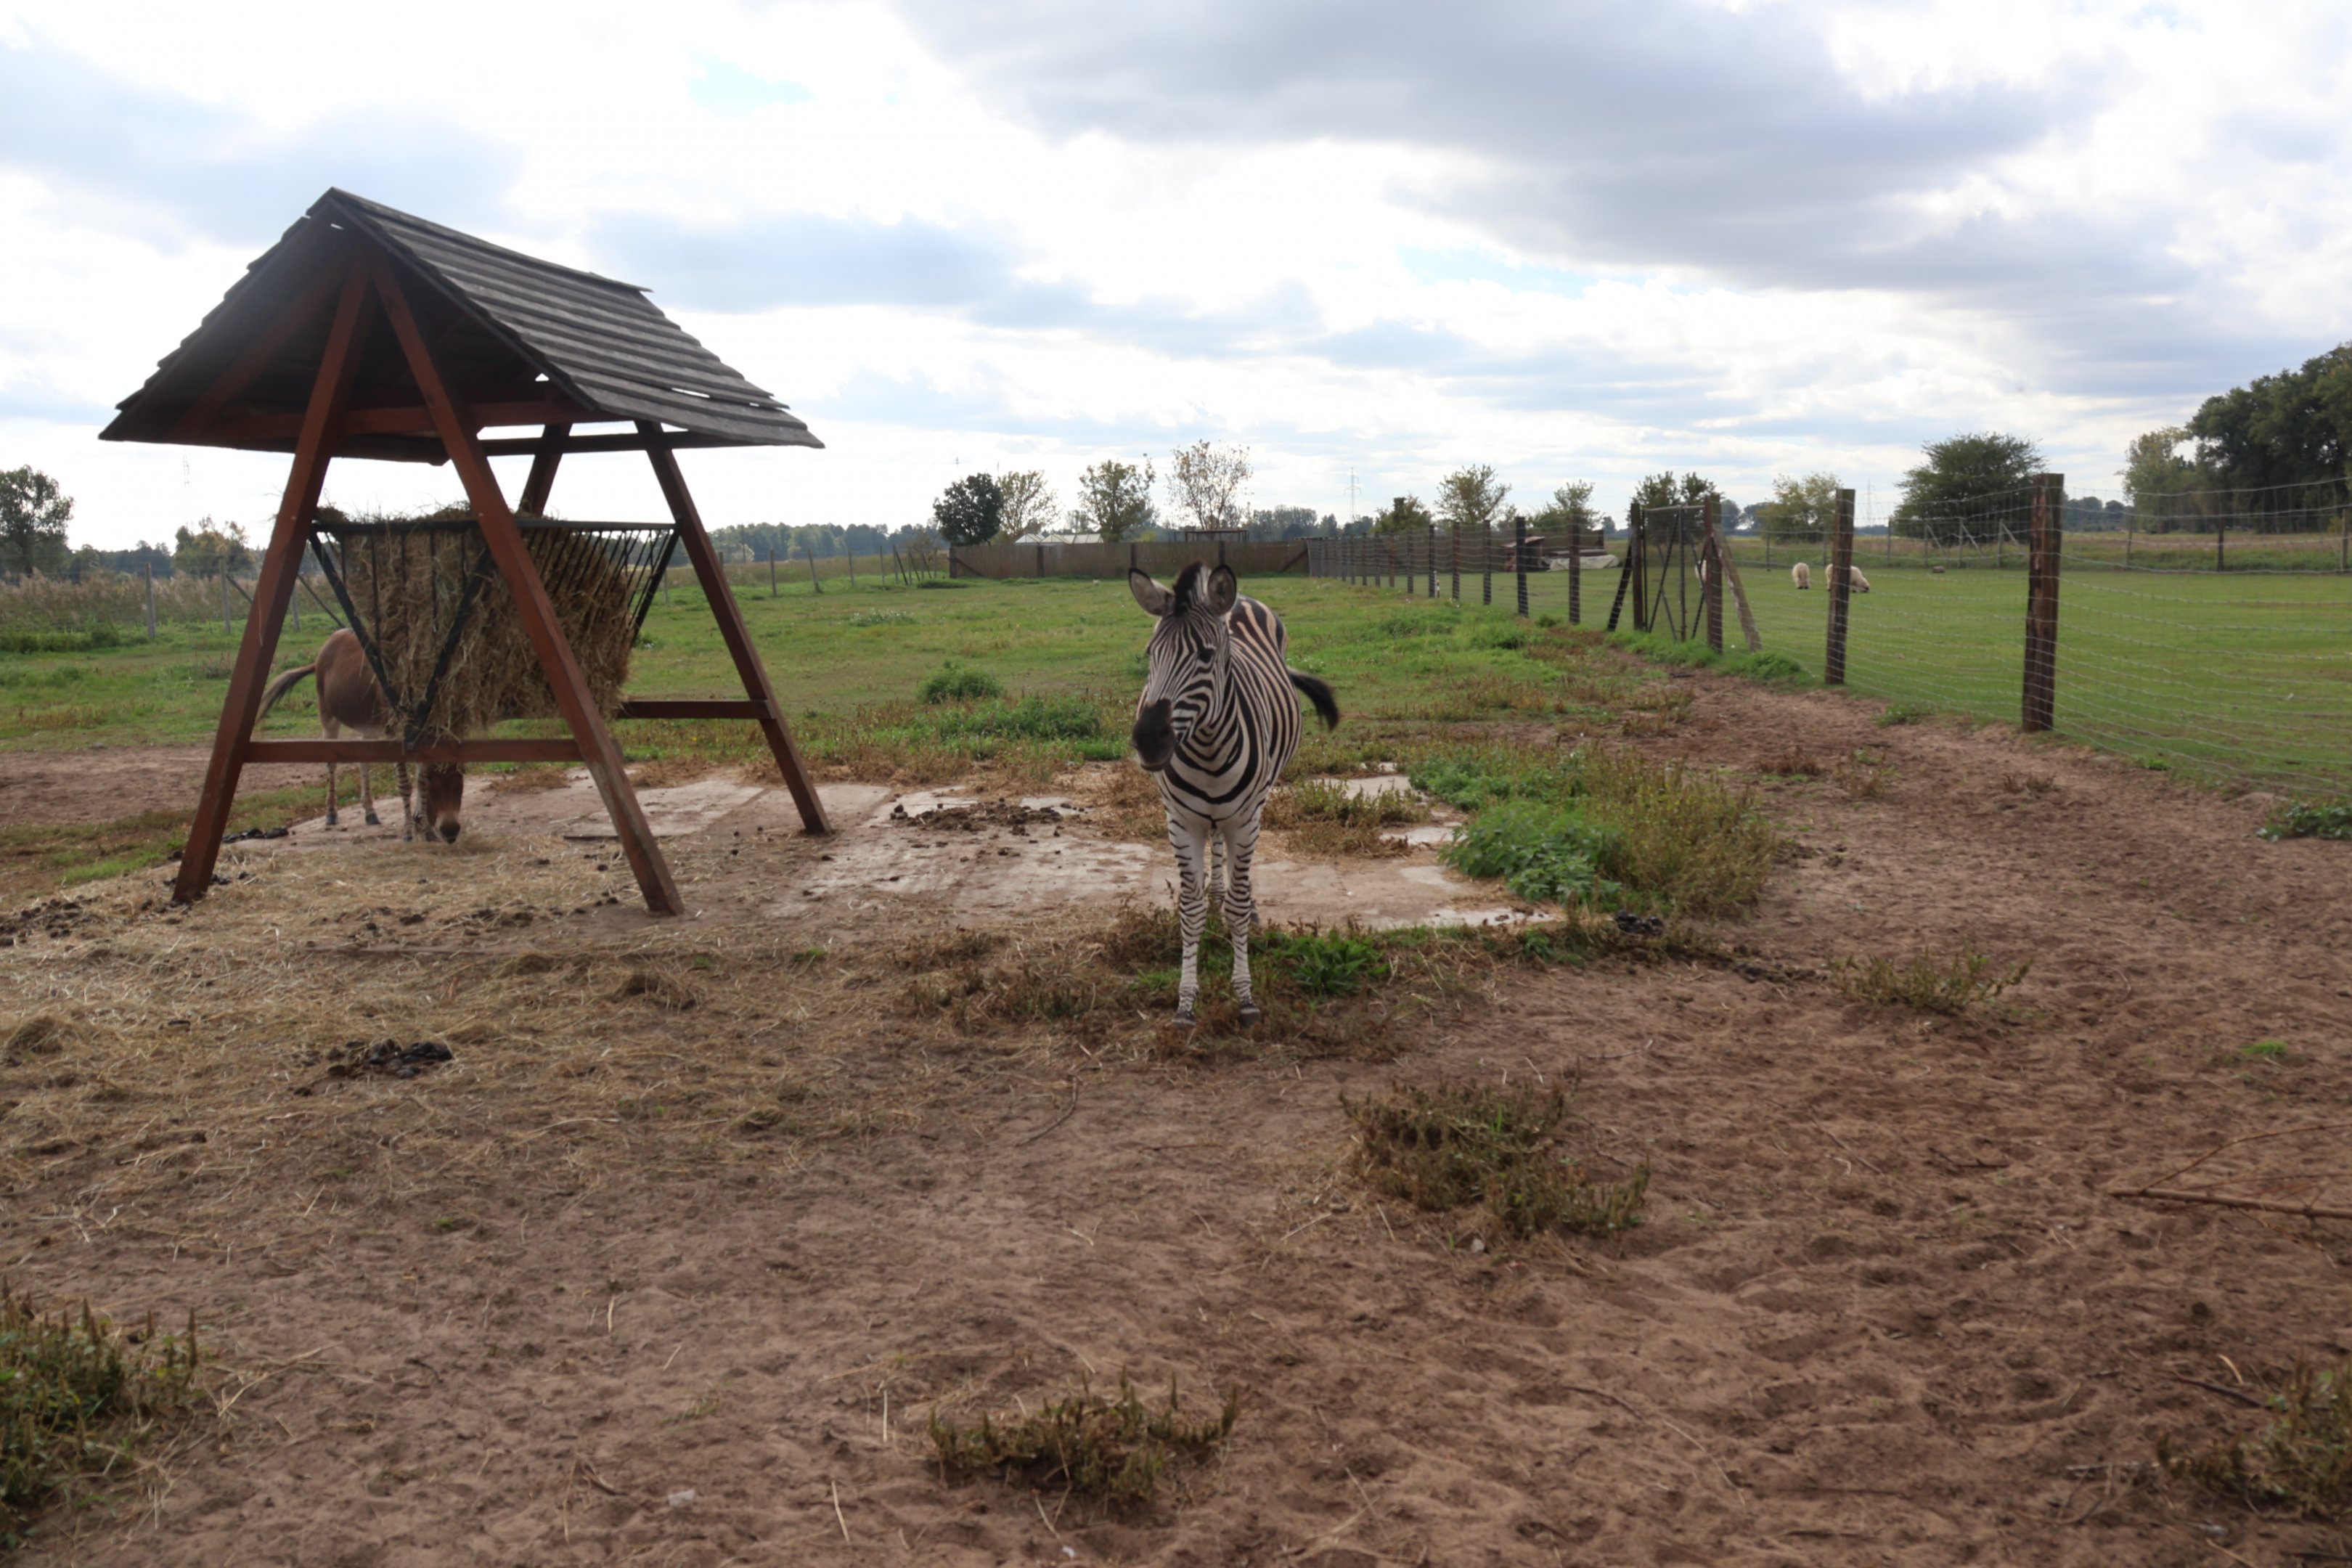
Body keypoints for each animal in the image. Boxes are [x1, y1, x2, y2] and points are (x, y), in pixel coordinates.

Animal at [1128, 561, 1340, 1026]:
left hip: (1254, 805)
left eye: (1206, 656)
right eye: (1151, 653)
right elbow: (1190, 910)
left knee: (1237, 873)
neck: (1208, 749)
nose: (1148, 740)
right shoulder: (1181, 821)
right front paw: (1185, 1002)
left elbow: (1239, 907)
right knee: (1216, 850)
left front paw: (1245, 996)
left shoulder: (1245, 820)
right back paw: (1216, 893)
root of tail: (1239, 599)